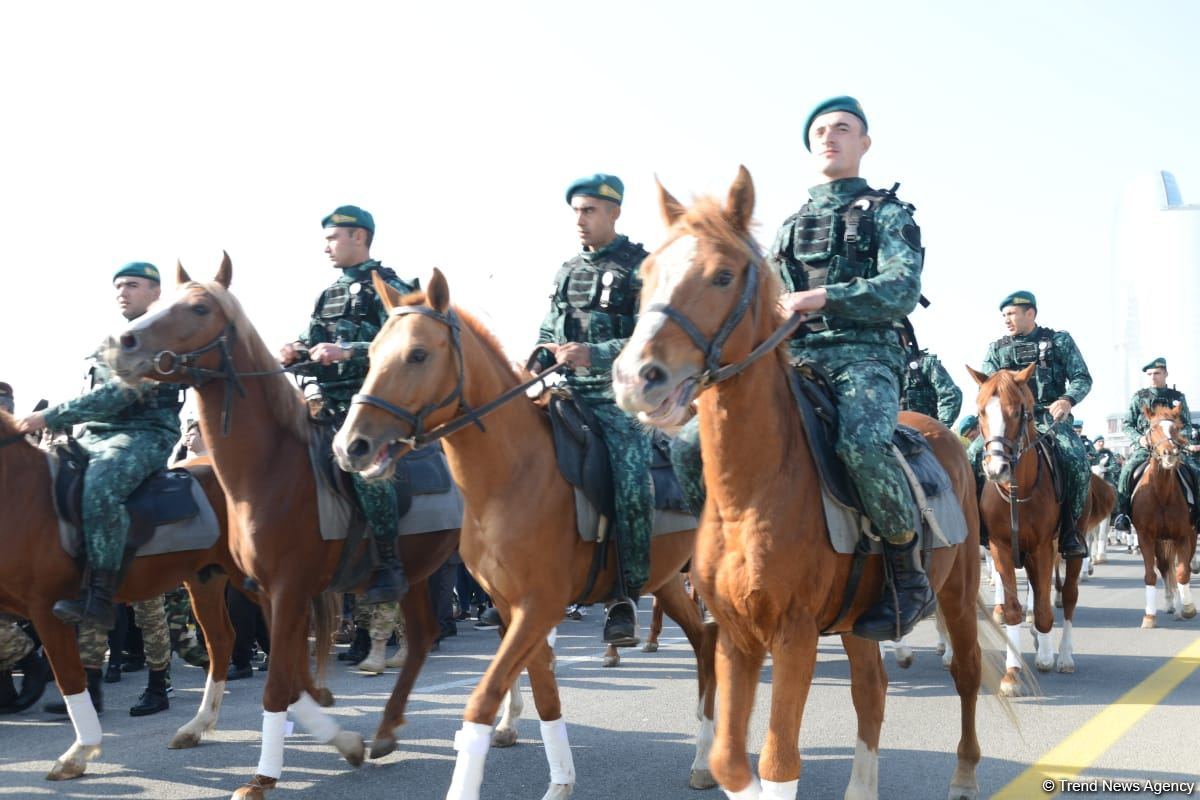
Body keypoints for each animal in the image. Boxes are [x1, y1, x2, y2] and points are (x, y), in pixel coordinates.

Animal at [0, 429, 246, 777]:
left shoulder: (47, 609)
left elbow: (69, 676)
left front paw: (78, 753)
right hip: (206, 579)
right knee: (221, 640)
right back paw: (196, 726)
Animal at [106, 257, 458, 800]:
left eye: (200, 308)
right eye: (162, 302)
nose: (124, 343)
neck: (267, 471)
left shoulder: (290, 589)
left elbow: (277, 685)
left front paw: (263, 777)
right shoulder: (269, 591)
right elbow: (287, 677)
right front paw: (341, 739)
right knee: (420, 638)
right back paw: (384, 731)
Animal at [333, 272, 715, 800]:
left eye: (418, 354)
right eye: (369, 354)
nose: (350, 445)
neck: (509, 477)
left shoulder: (540, 605)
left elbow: (485, 697)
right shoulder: (514, 606)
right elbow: (545, 692)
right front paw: (560, 781)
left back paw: (705, 754)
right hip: (667, 579)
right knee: (702, 641)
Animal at [614, 165, 998, 796]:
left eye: (722, 275)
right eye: (646, 276)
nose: (633, 377)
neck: (752, 492)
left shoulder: (793, 635)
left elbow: (778, 762)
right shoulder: (738, 636)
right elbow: (730, 759)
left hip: (959, 593)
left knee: (966, 674)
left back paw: (964, 775)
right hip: (861, 621)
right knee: (872, 692)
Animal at [1128, 407, 1195, 623]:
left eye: (1176, 428)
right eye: (1153, 428)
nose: (1169, 453)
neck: (1161, 494)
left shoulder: (1183, 535)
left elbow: (1183, 572)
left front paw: (1188, 608)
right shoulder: (1146, 537)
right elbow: (1151, 574)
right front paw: (1150, 616)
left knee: (1180, 567)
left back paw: (1180, 605)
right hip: (1160, 541)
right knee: (1165, 568)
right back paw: (1170, 604)